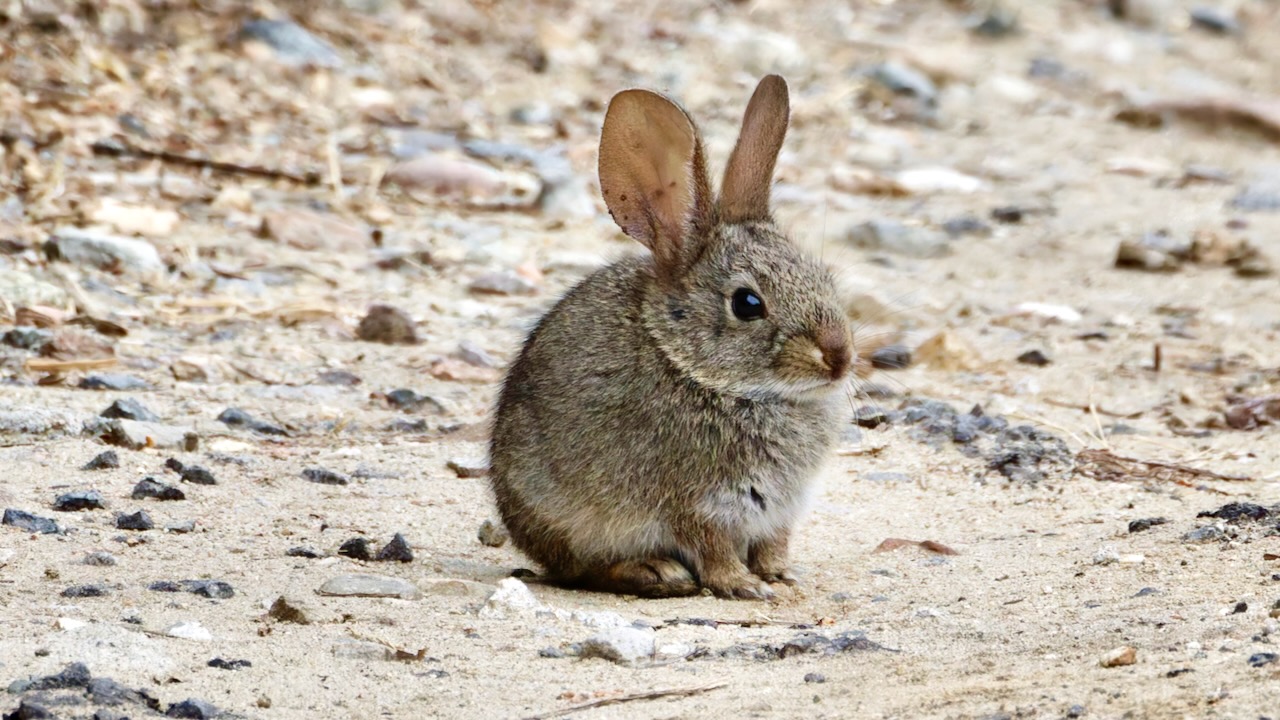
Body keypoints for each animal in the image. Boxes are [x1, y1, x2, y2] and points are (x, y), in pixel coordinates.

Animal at [486, 74, 849, 599]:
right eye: (748, 303)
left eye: (825, 278)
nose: (840, 357)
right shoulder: (700, 502)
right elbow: (712, 548)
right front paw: (743, 586)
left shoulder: (779, 510)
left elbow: (773, 544)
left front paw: (779, 575)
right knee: (584, 571)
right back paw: (657, 572)